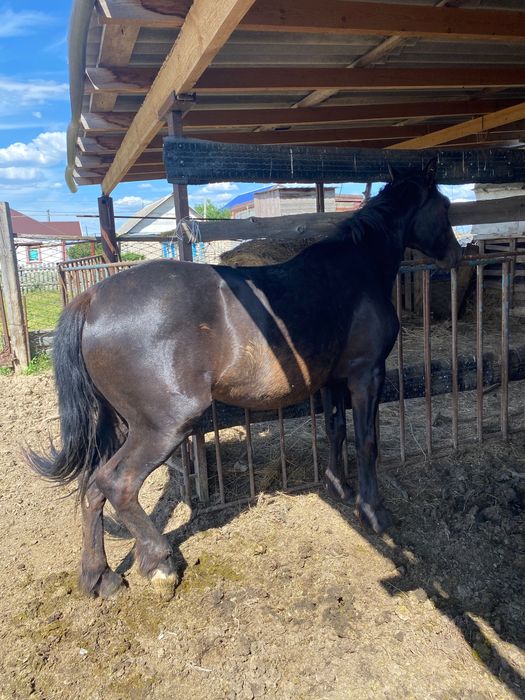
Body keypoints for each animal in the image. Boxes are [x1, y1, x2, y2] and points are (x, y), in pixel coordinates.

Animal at [28, 160, 461, 599]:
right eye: (444, 207)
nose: (456, 256)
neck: (356, 268)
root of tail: (92, 299)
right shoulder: (366, 374)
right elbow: (367, 441)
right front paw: (373, 511)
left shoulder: (332, 380)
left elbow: (335, 429)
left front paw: (337, 486)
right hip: (162, 427)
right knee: (117, 484)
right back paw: (159, 564)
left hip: (123, 425)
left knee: (91, 490)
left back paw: (100, 576)